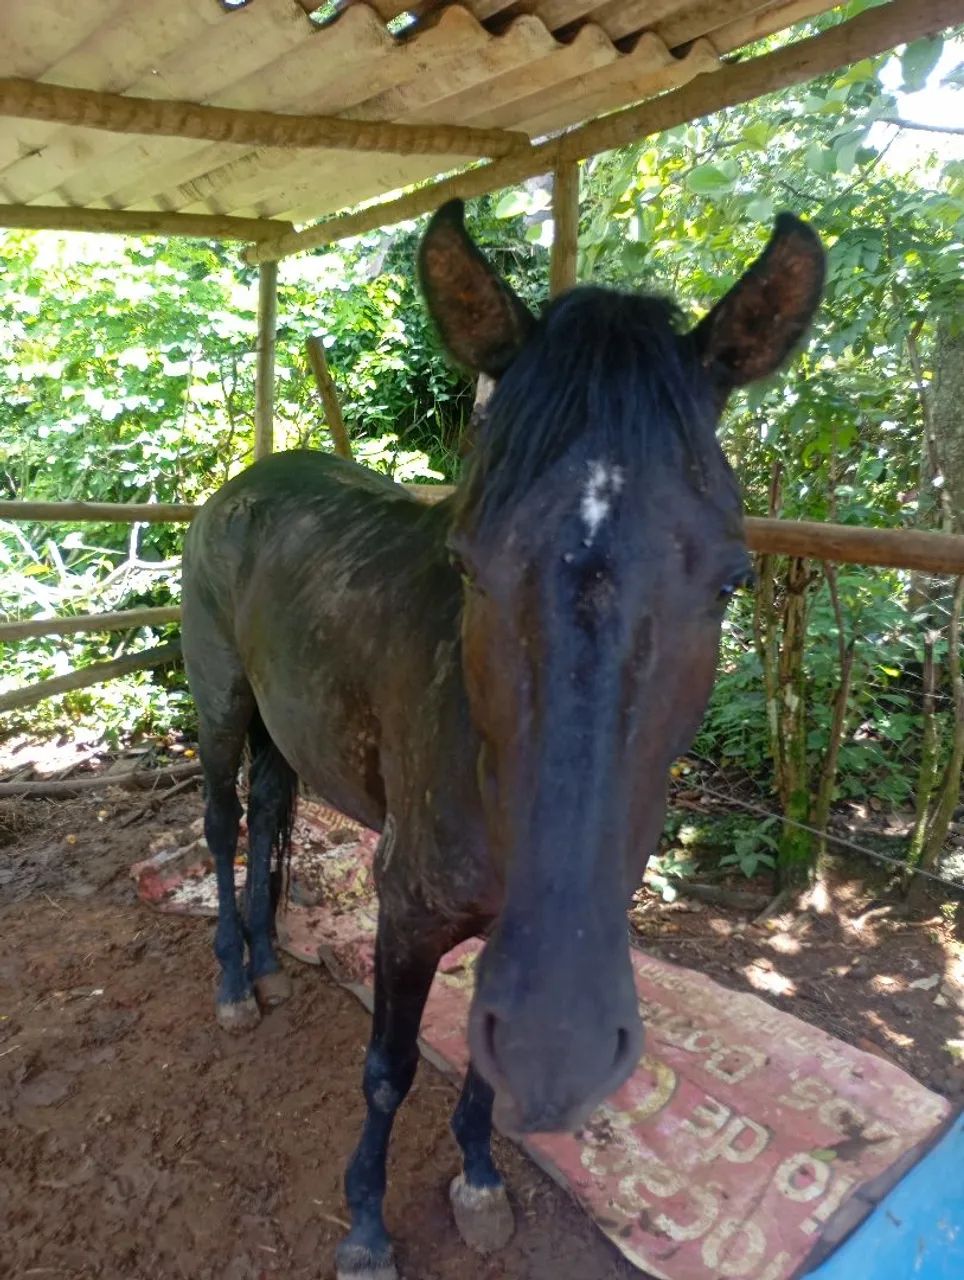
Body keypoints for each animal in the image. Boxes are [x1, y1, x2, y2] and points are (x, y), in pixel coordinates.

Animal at [180, 198, 824, 1280]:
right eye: (467, 565)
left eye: (731, 579)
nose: (565, 1046)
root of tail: (245, 483)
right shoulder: (405, 908)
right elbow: (389, 1067)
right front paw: (366, 1225)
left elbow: (481, 1061)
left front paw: (479, 1180)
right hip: (223, 703)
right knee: (225, 826)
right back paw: (231, 979)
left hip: (283, 722)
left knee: (269, 811)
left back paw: (268, 959)